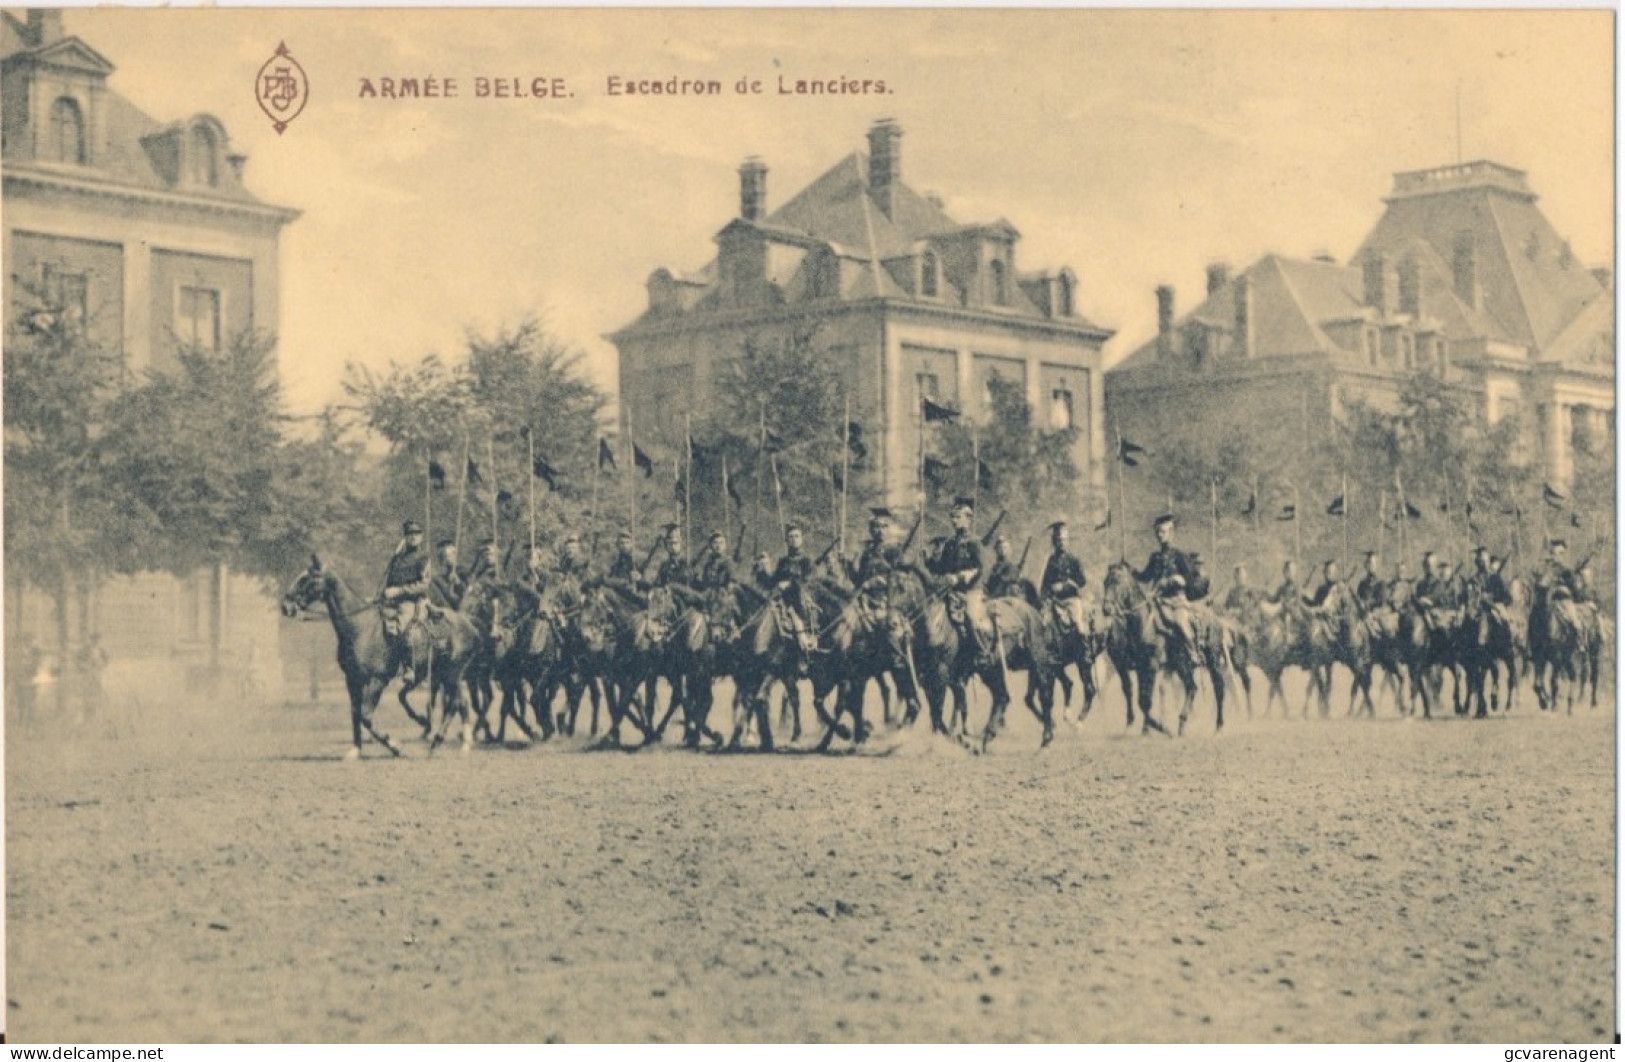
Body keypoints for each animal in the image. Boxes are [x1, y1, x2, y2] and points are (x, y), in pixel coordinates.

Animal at [279, 561, 477, 759]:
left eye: (305, 579)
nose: (285, 605)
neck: (360, 628)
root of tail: (469, 625)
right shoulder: (352, 680)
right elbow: (355, 714)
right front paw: (356, 749)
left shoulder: (377, 681)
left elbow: (365, 717)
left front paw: (396, 747)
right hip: (439, 675)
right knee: (448, 702)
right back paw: (433, 730)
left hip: (452, 674)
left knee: (455, 704)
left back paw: (439, 741)